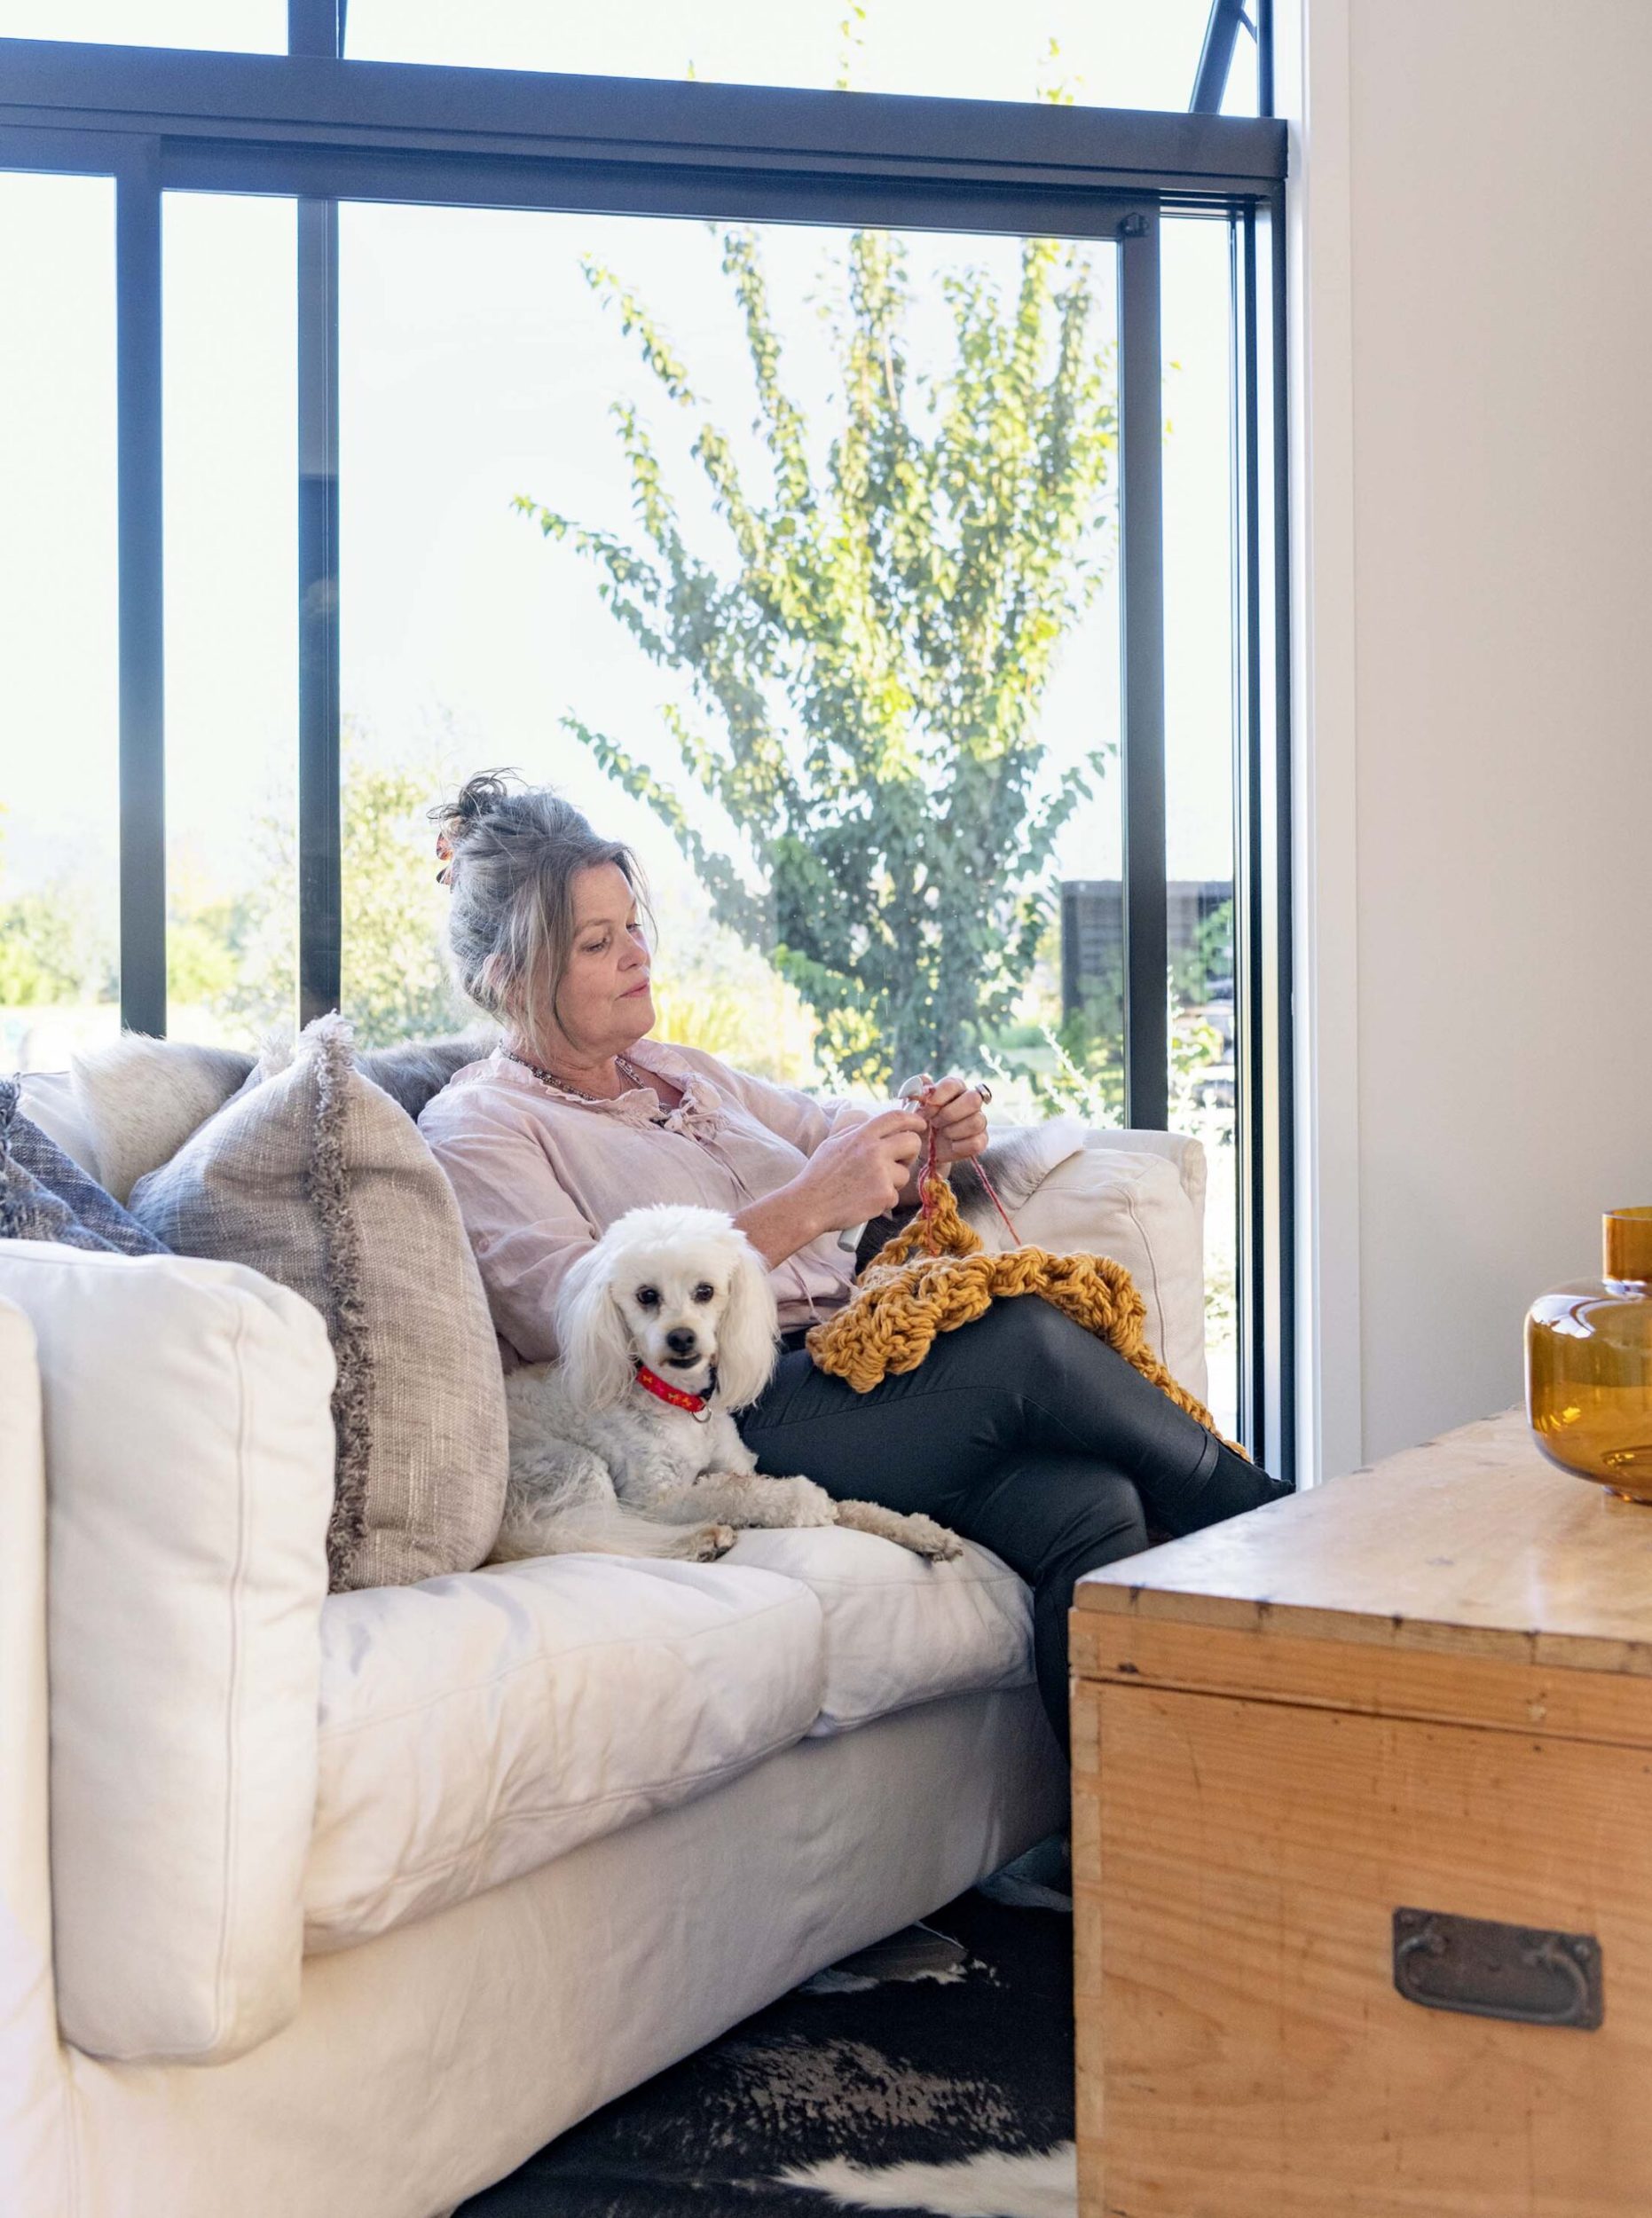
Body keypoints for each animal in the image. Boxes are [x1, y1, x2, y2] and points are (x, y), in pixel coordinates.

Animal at [492, 1207, 953, 1570]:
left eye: (705, 1291)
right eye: (646, 1296)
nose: (681, 1338)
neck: (680, 1401)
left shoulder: (735, 1463)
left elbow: (837, 1505)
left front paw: (918, 1530)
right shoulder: (656, 1498)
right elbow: (732, 1492)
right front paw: (802, 1500)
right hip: (570, 1467)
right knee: (597, 1536)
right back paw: (699, 1541)